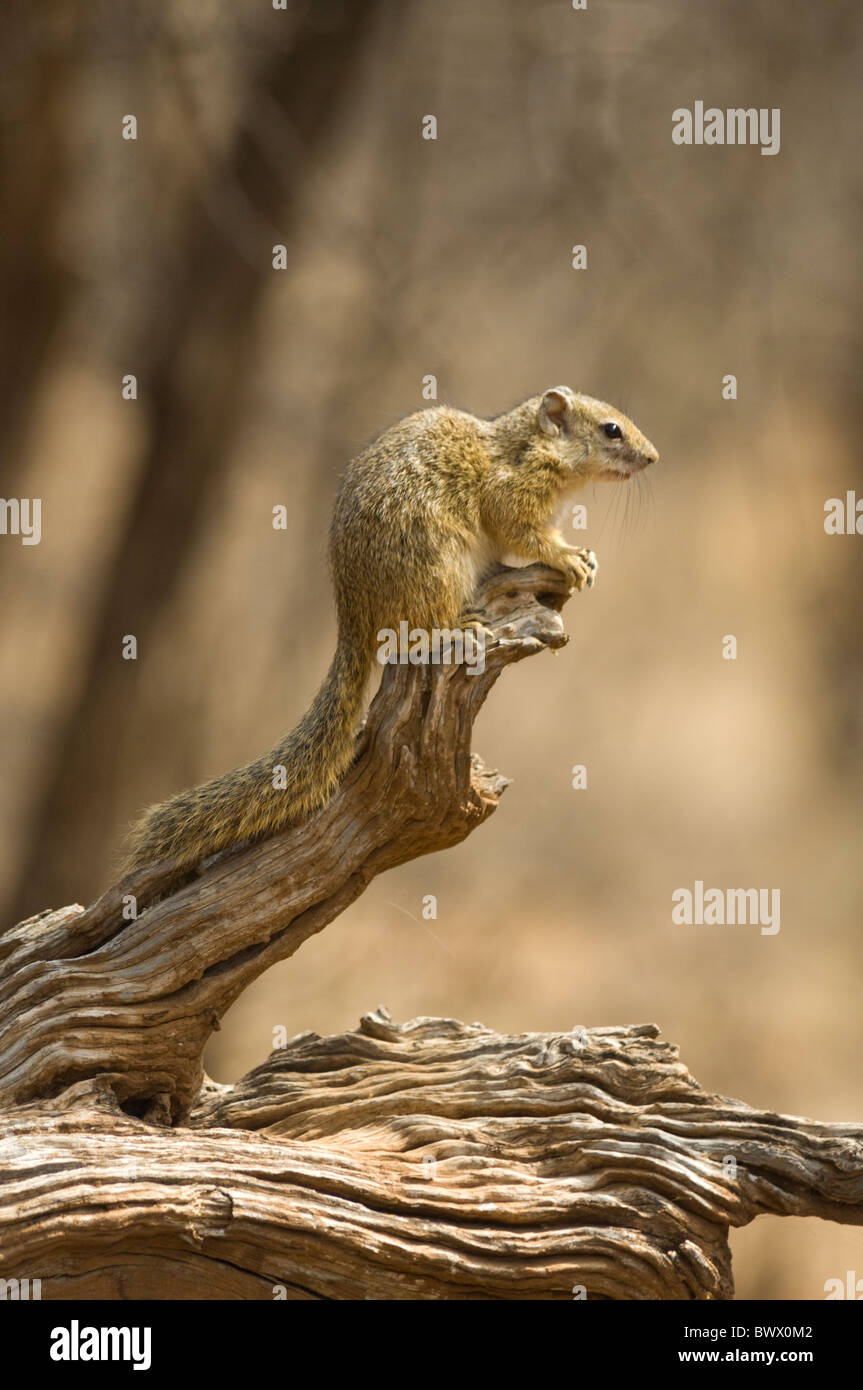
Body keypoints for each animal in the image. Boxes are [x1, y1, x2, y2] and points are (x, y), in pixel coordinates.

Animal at [126, 386, 653, 867]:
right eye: (611, 429)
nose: (653, 457)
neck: (526, 446)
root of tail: (353, 616)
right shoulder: (511, 497)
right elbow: (523, 533)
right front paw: (568, 557)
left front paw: (583, 556)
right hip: (436, 566)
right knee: (421, 630)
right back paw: (460, 625)